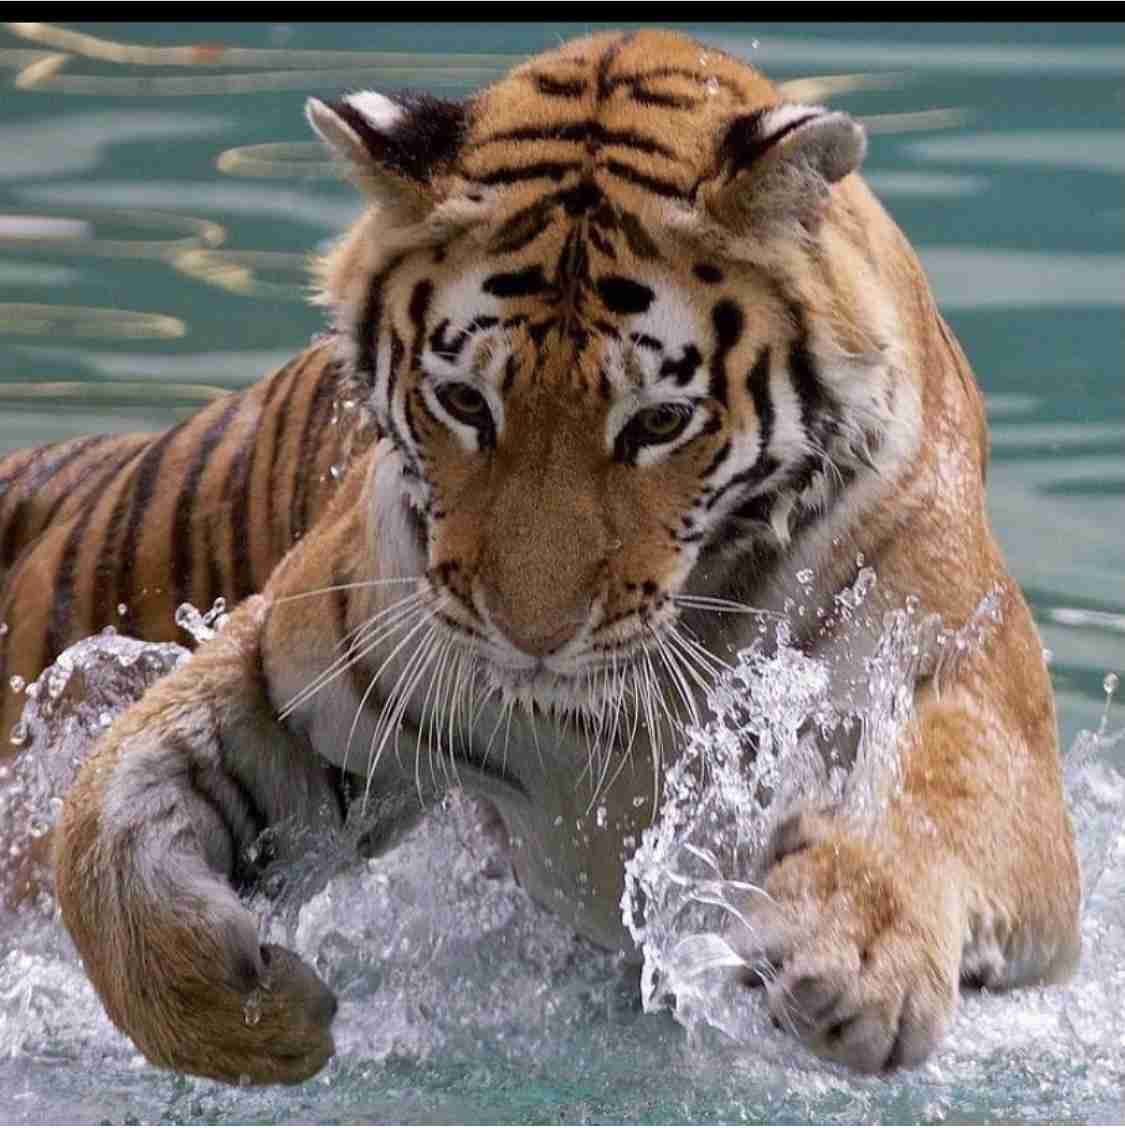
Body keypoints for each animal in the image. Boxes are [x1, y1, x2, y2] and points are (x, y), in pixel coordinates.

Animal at [5, 28, 1081, 1086]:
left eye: (659, 421)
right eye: (464, 402)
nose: (531, 639)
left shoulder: (957, 667)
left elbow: (943, 797)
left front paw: (855, 958)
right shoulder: (308, 667)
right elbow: (102, 818)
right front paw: (246, 1016)